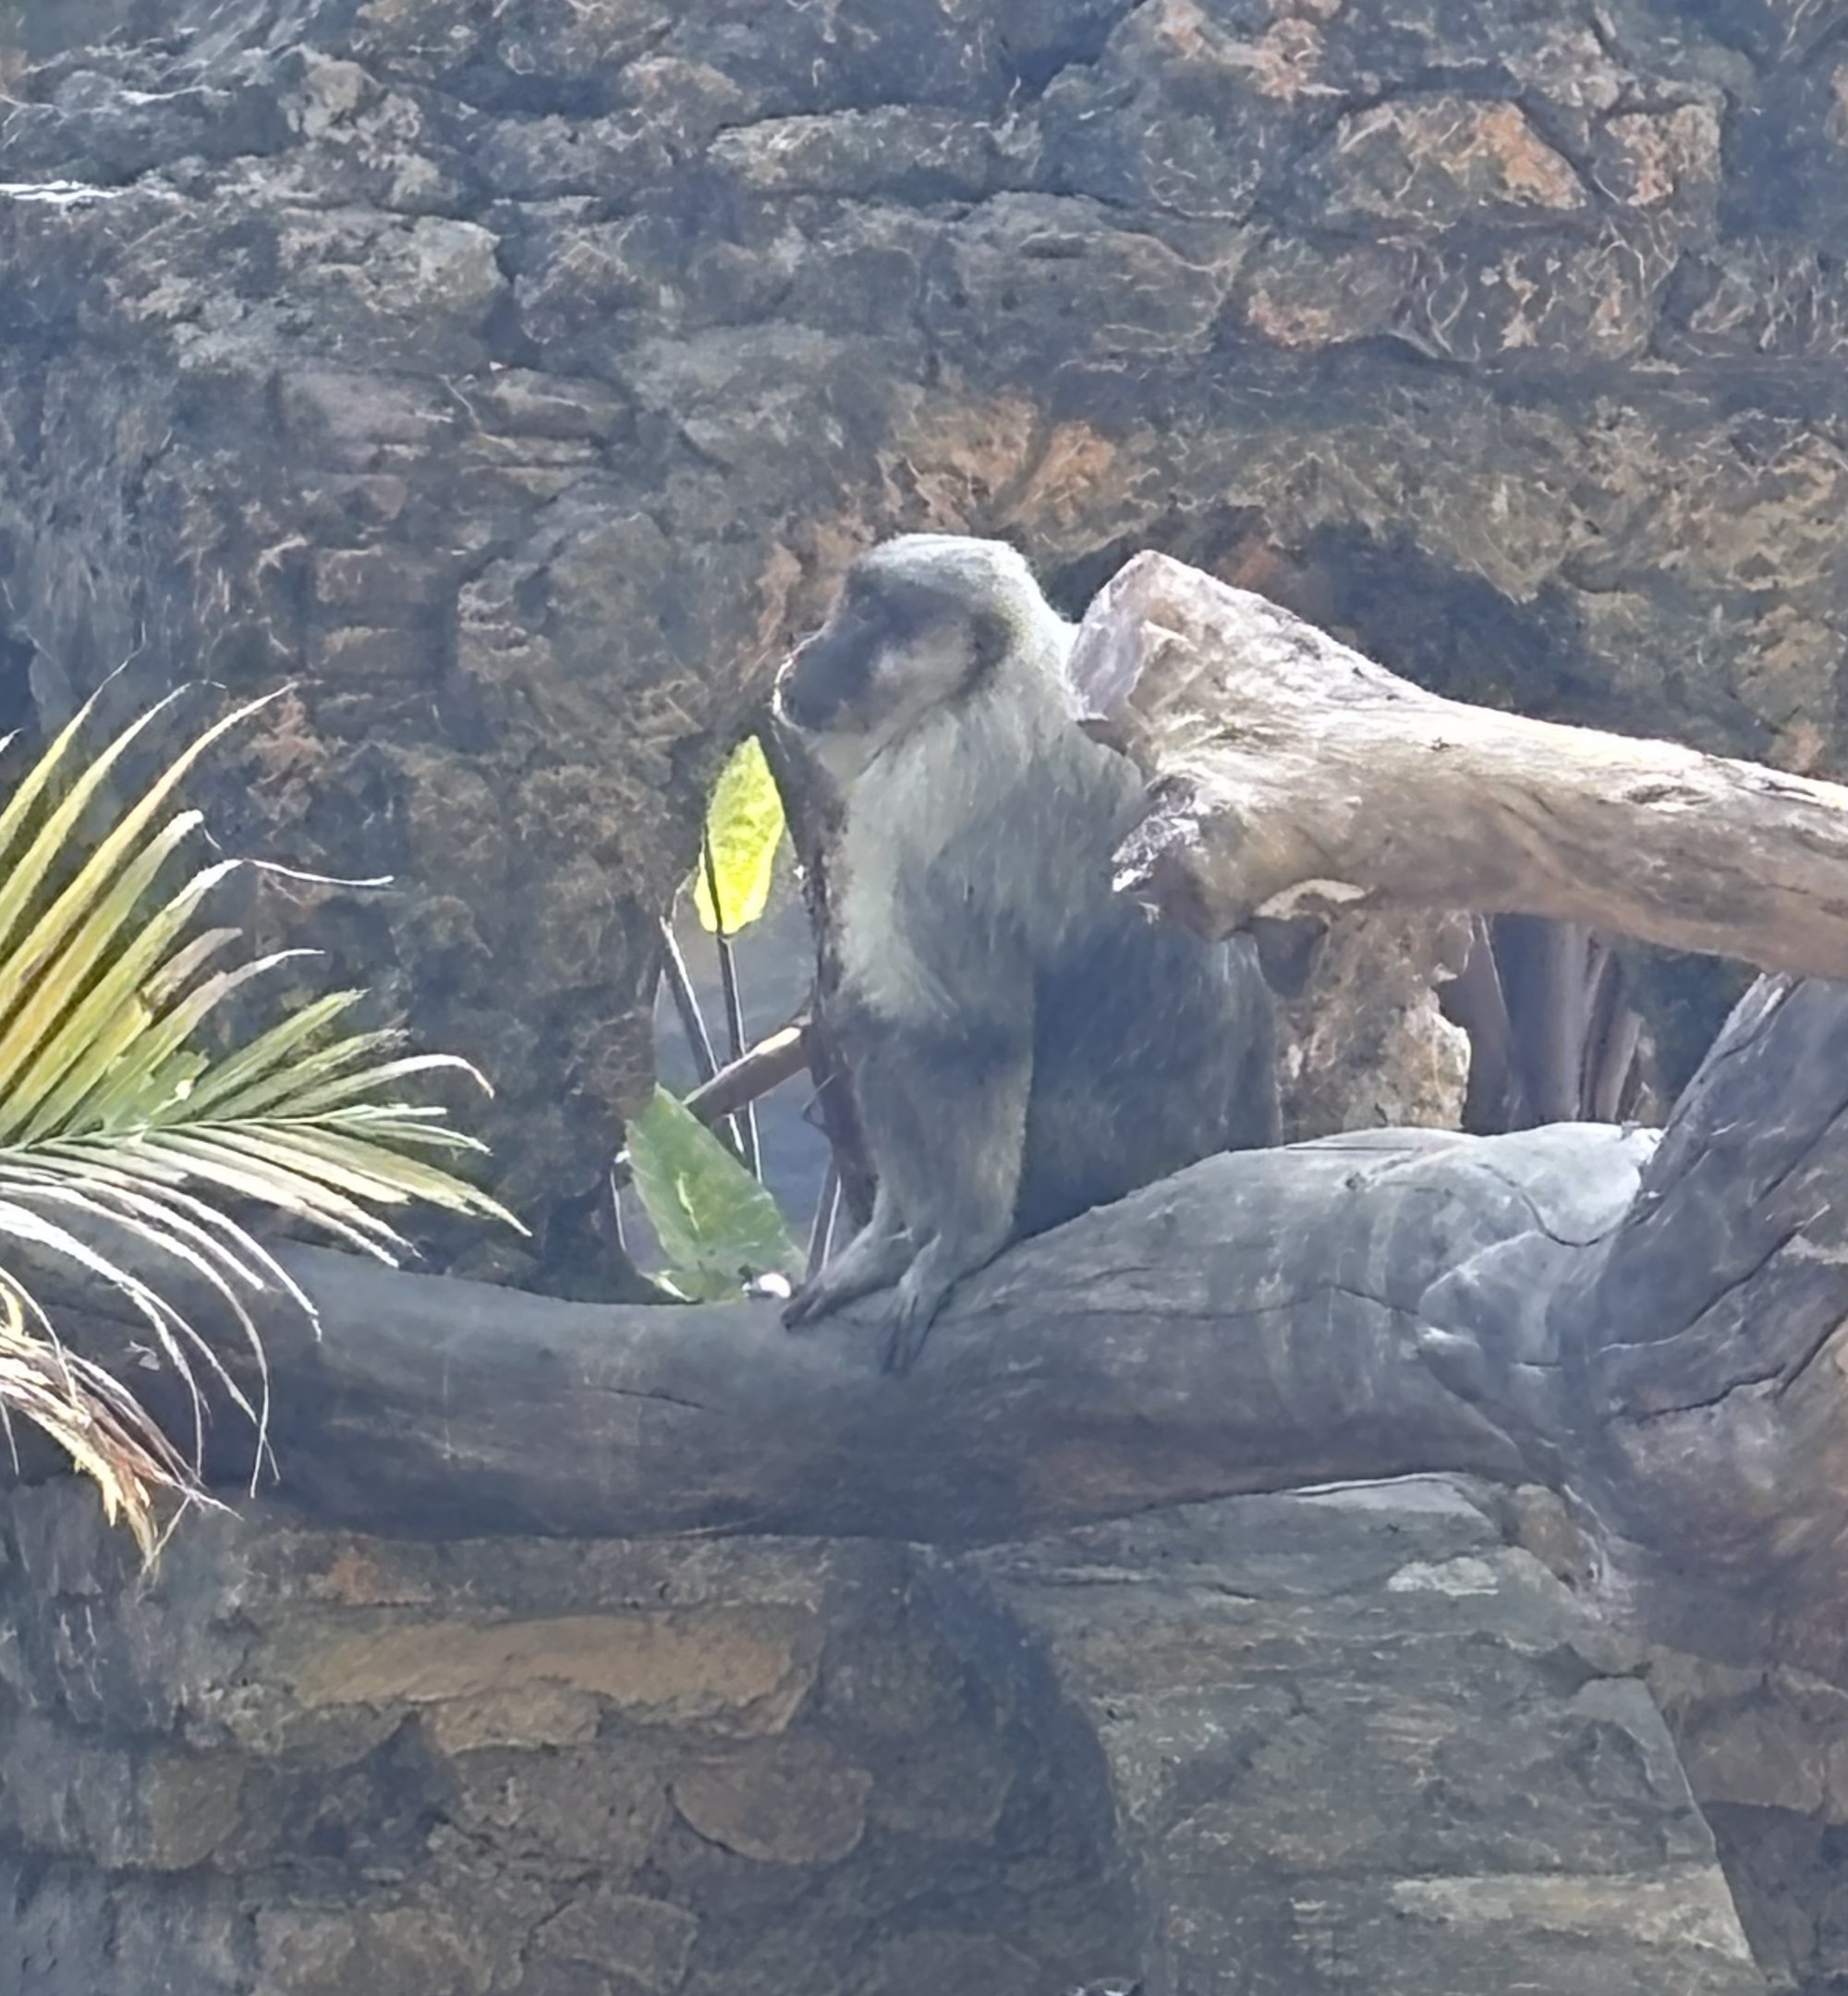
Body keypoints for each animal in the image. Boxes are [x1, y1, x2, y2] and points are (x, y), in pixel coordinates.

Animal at [773, 533, 1278, 1373]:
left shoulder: (929, 787)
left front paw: (958, 1243)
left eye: (868, 615)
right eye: (849, 607)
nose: (808, 650)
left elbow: (974, 1032)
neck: (980, 683)